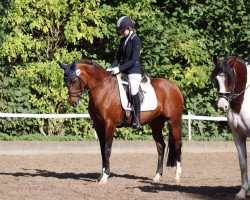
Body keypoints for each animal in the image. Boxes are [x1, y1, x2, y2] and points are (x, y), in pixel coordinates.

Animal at [212, 54, 250, 198]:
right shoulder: (238, 136)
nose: (222, 106)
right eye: (216, 80)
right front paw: (242, 191)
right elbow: (243, 163)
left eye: (229, 79)